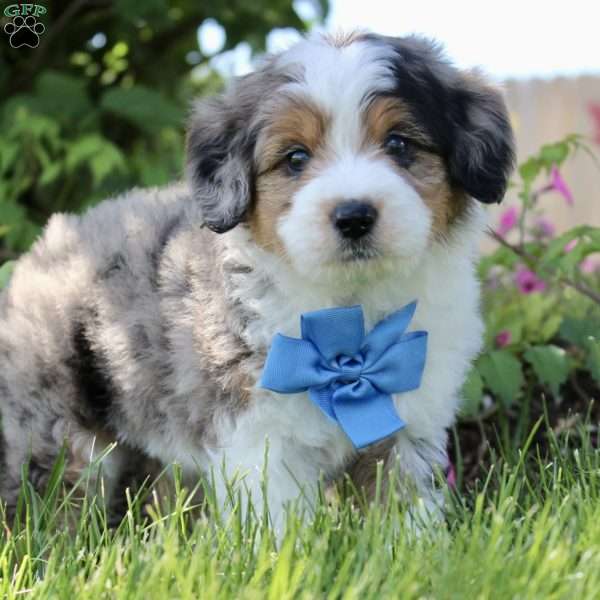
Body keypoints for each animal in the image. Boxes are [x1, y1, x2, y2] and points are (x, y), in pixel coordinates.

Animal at [1, 34, 516, 528]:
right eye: (295, 157)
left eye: (400, 145)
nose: (354, 216)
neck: (347, 309)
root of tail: (43, 249)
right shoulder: (259, 434)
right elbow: (278, 522)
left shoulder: (408, 426)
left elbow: (405, 513)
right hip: (50, 430)